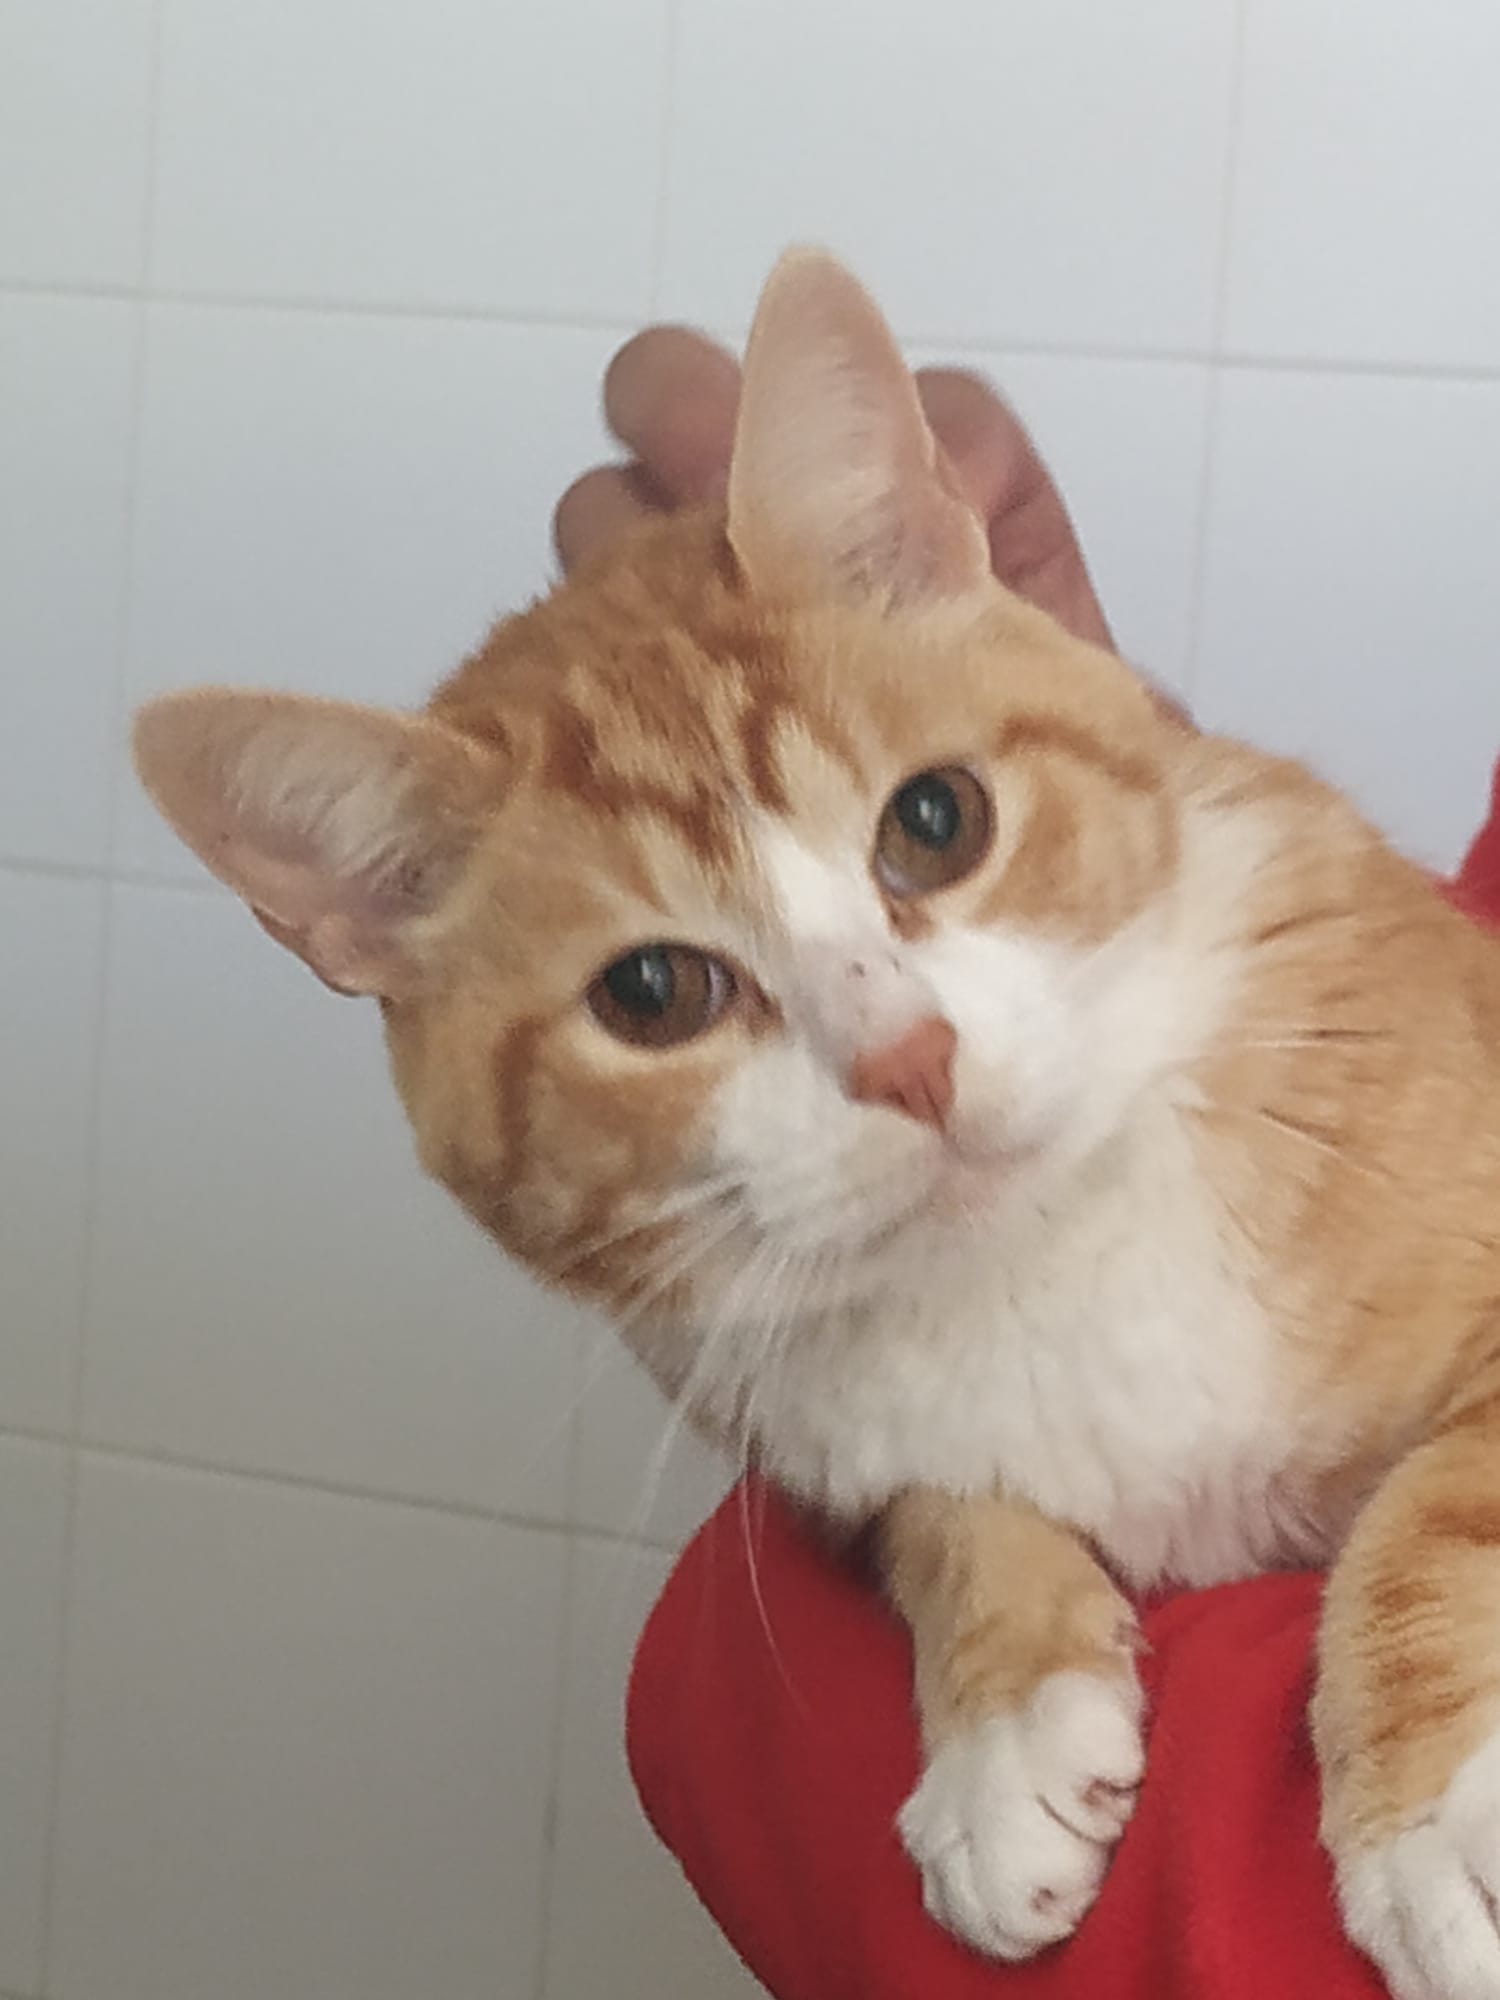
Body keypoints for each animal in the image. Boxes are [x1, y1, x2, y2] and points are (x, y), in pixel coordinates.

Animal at [133, 247, 1500, 2000]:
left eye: (936, 821)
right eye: (654, 992)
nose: (908, 1058)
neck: (1042, 1253)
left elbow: (1440, 1506)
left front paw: (1428, 1821)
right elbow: (939, 1501)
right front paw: (1003, 1724)